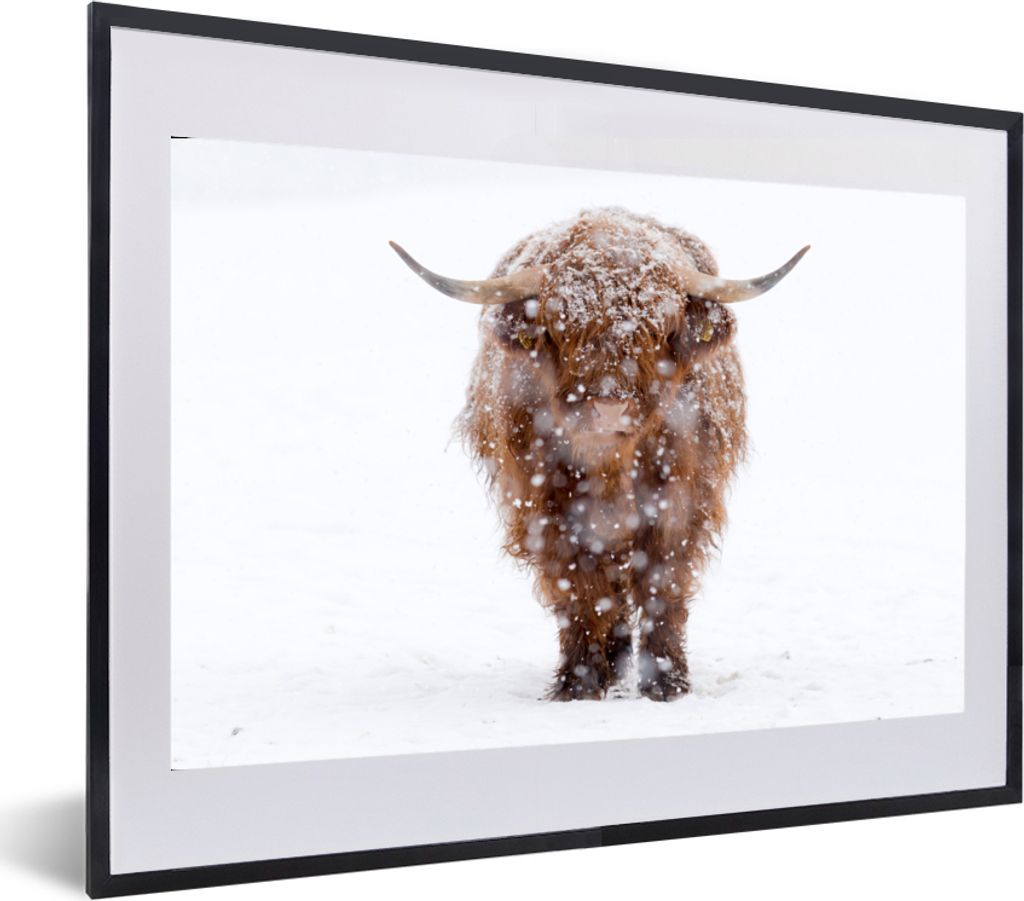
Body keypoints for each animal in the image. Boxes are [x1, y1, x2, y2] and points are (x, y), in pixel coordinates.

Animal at [390, 207, 807, 701]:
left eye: (660, 328)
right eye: (562, 326)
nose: (609, 406)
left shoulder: (680, 500)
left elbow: (662, 581)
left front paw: (665, 683)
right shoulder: (545, 507)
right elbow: (580, 588)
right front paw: (579, 683)